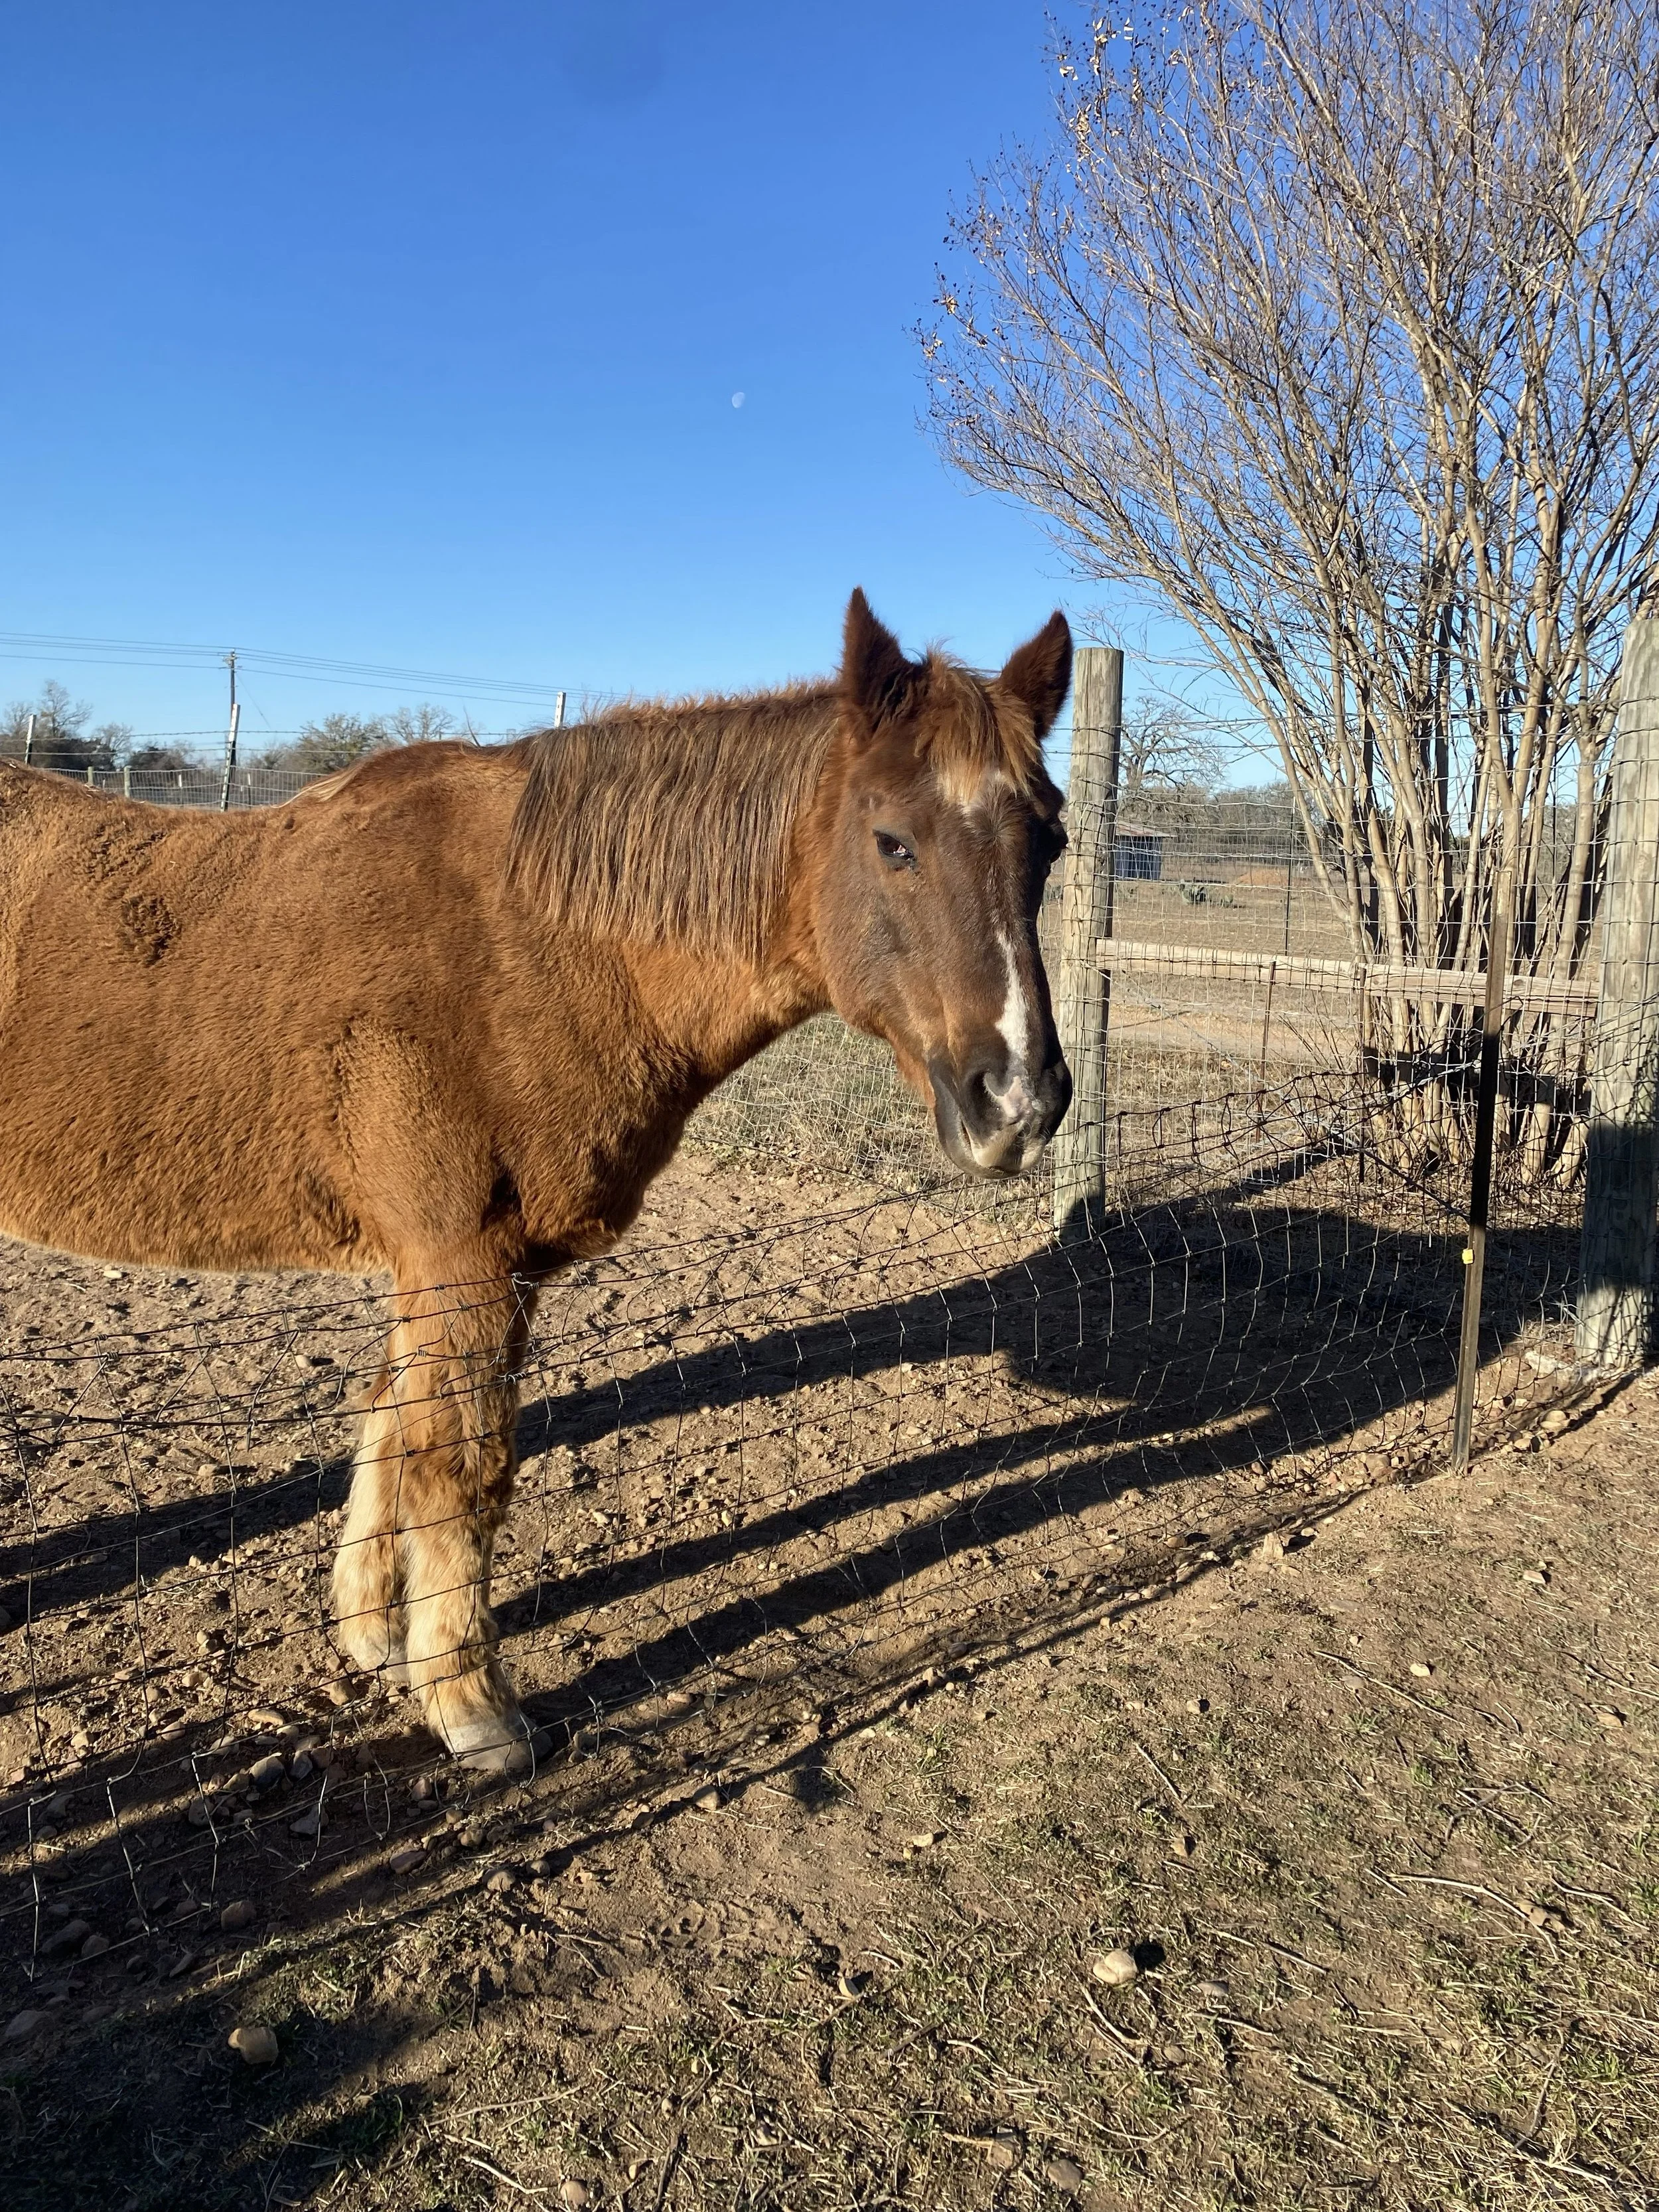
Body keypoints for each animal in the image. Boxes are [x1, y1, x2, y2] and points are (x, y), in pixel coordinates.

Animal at [0, 591, 1073, 1770]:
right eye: (894, 843)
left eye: (1052, 839)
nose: (1020, 1101)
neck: (537, 940)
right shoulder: (467, 1259)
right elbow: (458, 1468)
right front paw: (473, 1705)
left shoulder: (434, 1266)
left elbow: (392, 1426)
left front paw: (376, 1635)